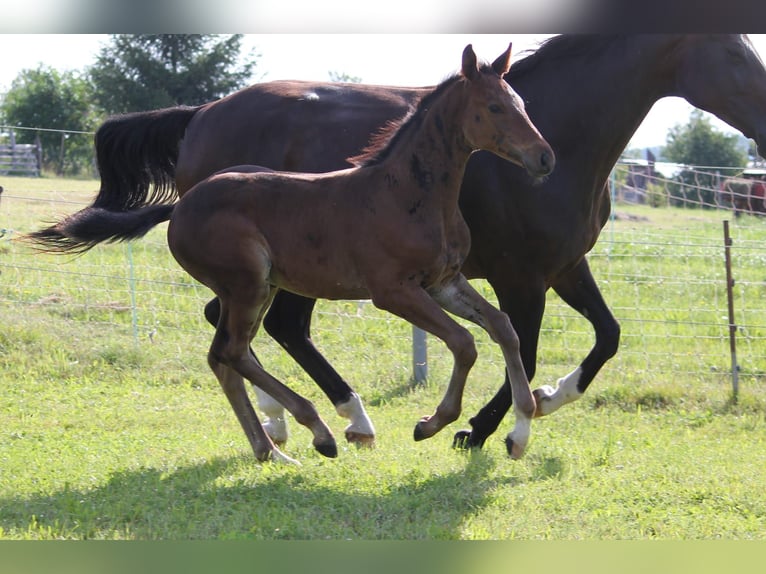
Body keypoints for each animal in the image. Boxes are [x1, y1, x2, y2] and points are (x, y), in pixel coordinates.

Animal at [27, 35, 766, 460]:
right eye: (736, 52)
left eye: (524, 103)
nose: (543, 157)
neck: (409, 187)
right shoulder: (432, 287)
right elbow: (485, 344)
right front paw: (466, 427)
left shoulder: (481, 277)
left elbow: (539, 337)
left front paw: (526, 412)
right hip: (259, 280)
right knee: (237, 345)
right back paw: (325, 427)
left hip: (266, 284)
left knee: (232, 345)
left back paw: (284, 437)